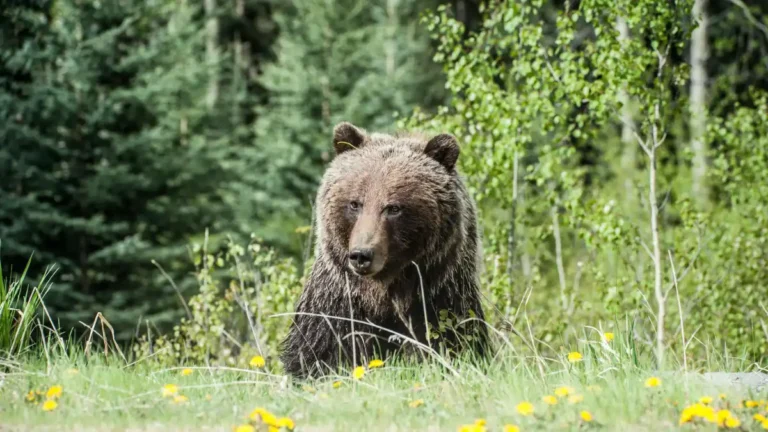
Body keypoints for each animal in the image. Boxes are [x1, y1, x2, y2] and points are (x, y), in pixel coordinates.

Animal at [280, 121, 488, 378]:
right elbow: (317, 352)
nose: (361, 255)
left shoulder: (441, 296)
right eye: (355, 203)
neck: (384, 292)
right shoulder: (337, 303)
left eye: (393, 208)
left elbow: (454, 342)